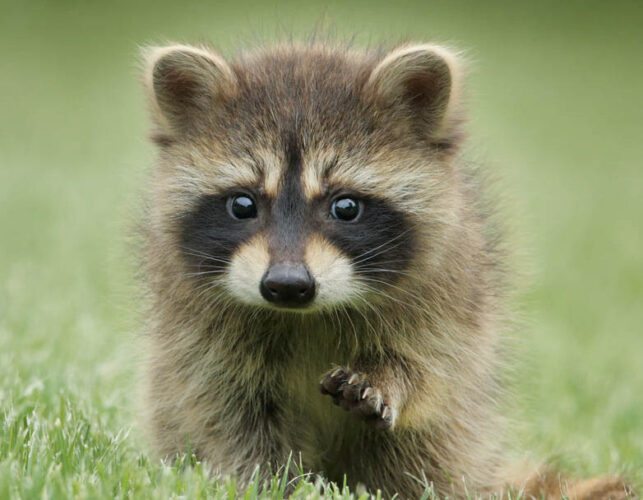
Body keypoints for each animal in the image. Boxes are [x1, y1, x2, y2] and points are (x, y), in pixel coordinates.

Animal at [139, 42, 632, 498]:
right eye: (243, 205)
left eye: (346, 207)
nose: (288, 285)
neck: (308, 316)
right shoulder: (196, 330)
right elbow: (227, 411)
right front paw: (270, 482)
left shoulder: (451, 292)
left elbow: (432, 368)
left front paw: (388, 377)